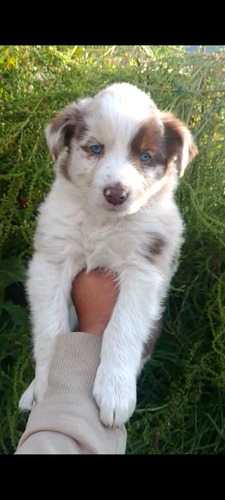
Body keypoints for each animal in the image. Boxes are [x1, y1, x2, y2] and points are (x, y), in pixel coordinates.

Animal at [19, 82, 199, 426]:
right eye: (95, 149)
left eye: (146, 157)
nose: (116, 194)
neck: (103, 222)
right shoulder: (52, 259)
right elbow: (51, 328)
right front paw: (46, 384)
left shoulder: (144, 268)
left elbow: (122, 326)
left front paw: (115, 392)